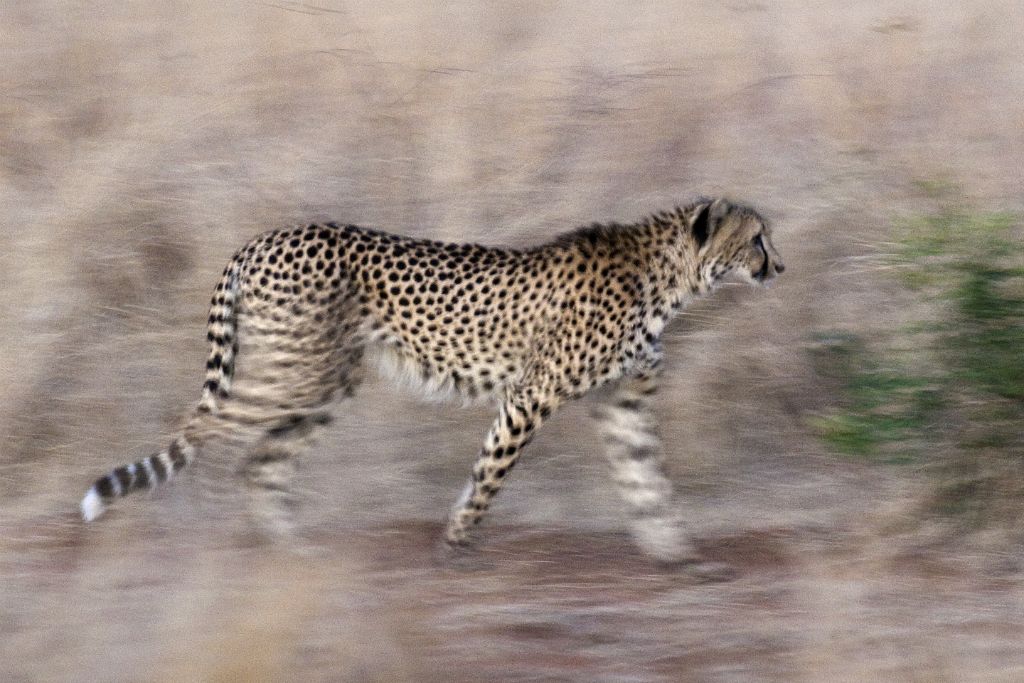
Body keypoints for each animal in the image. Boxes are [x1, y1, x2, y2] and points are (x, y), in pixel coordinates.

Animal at [81, 196, 782, 561]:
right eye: (756, 239)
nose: (779, 266)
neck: (668, 279)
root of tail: (262, 237)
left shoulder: (623, 401)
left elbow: (647, 477)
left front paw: (674, 551)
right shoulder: (532, 395)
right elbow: (490, 474)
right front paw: (457, 541)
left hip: (323, 384)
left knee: (261, 461)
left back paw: (290, 550)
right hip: (292, 374)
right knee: (205, 429)